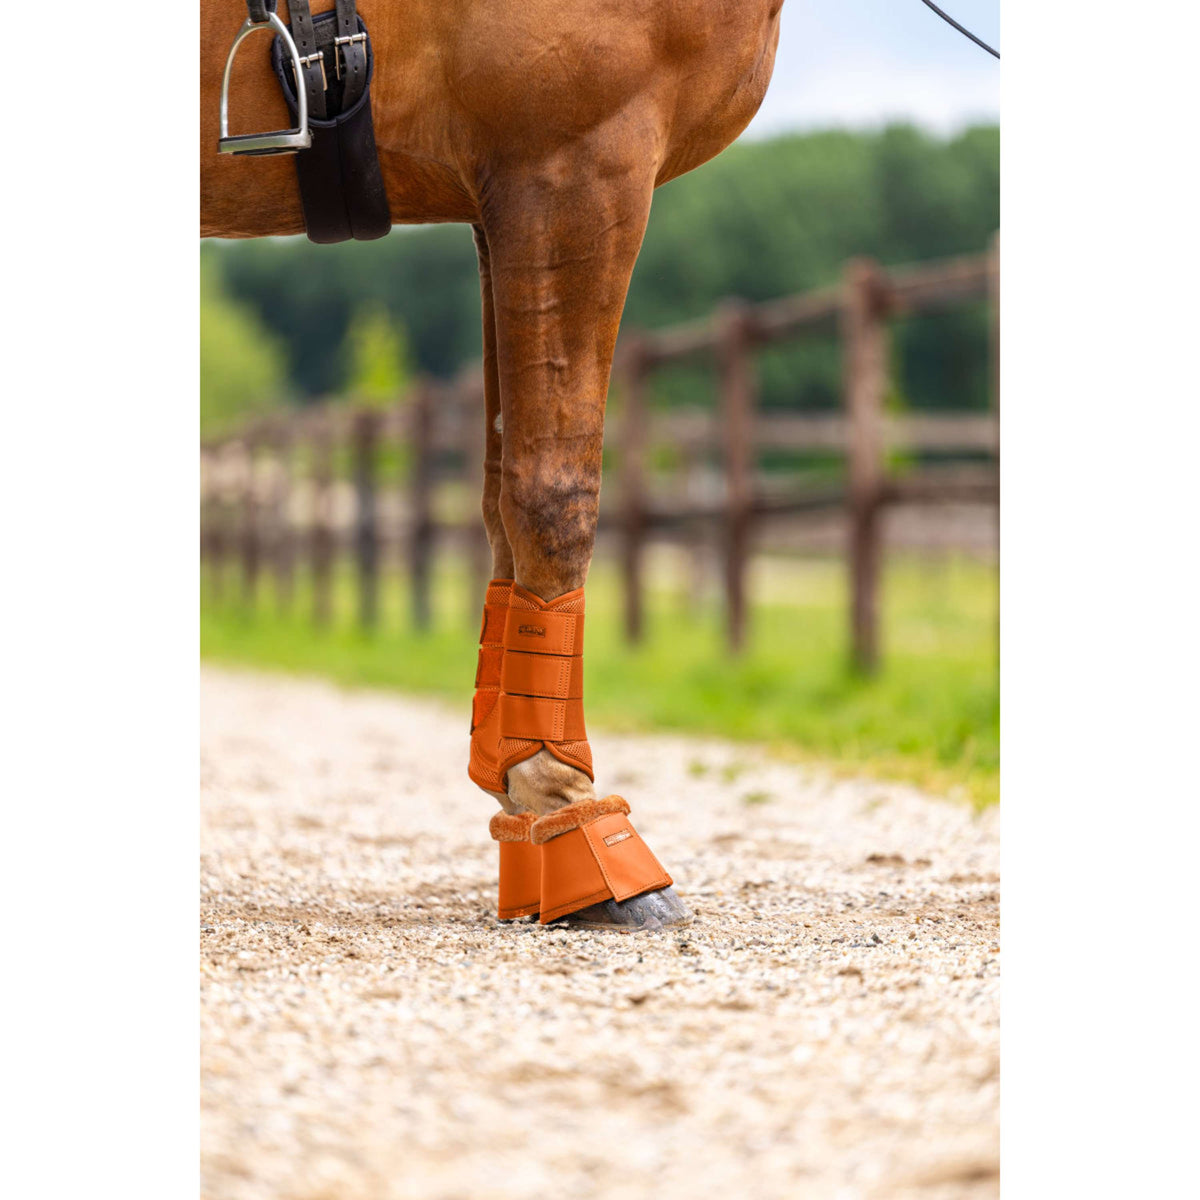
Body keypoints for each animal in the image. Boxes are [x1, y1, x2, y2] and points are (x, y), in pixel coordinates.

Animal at [201, 0, 783, 930]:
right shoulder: (576, 164)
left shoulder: (497, 195)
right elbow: (555, 492)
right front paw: (570, 815)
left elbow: (500, 502)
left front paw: (523, 800)